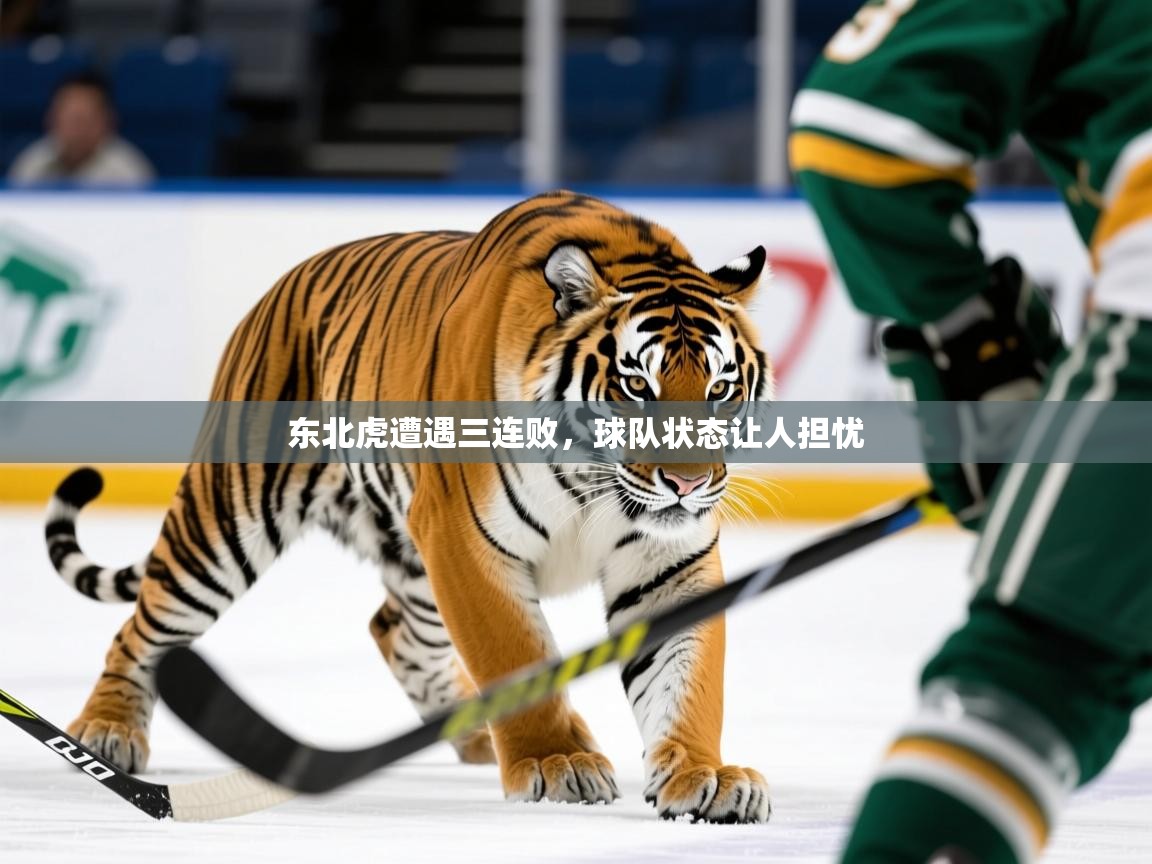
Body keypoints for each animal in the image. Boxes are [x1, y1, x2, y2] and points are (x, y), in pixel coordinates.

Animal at [44, 190, 773, 823]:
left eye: (720, 387)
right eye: (636, 385)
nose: (685, 484)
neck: (593, 482)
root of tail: (284, 284)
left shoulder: (669, 563)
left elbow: (687, 677)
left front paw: (704, 777)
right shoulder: (467, 541)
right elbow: (514, 654)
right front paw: (555, 762)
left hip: (415, 566)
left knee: (393, 629)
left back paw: (473, 733)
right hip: (227, 524)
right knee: (143, 628)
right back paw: (106, 732)